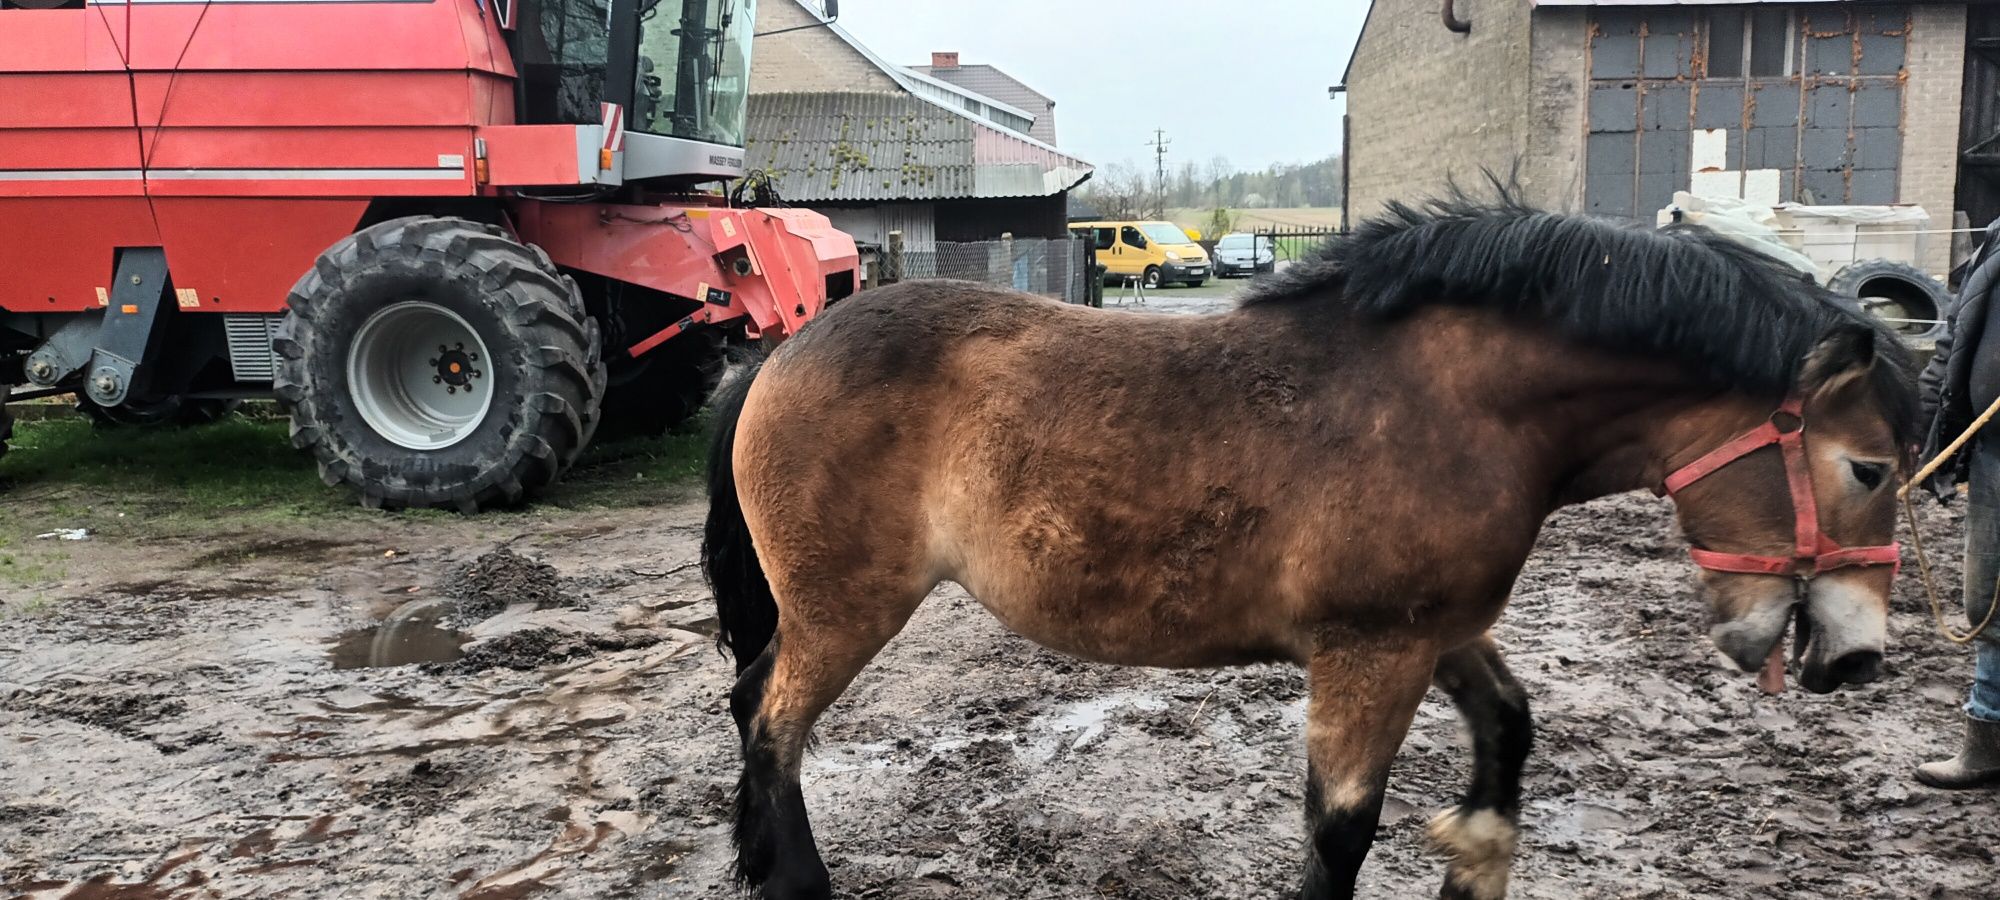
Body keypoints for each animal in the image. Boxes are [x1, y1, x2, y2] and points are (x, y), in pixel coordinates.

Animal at [704, 199, 1920, 900]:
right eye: (1868, 469)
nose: (1855, 656)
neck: (1447, 408)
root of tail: (777, 355)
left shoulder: (1437, 632)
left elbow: (1509, 726)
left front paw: (1474, 856)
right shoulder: (1368, 656)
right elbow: (1339, 835)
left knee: (752, 703)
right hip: (848, 609)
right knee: (773, 727)